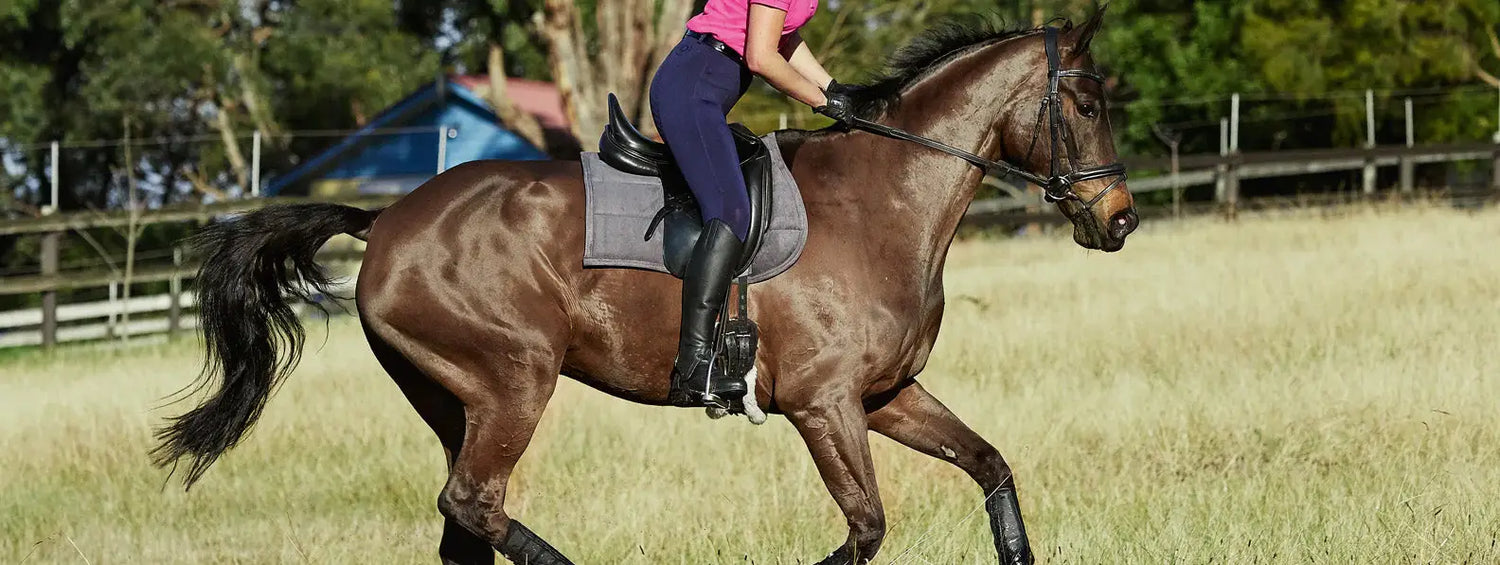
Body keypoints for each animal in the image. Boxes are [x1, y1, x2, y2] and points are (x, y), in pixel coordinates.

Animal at [155, 11, 1134, 563]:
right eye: (1087, 105)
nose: (1118, 219)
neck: (883, 200)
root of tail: (385, 218)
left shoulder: (886, 394)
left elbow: (991, 466)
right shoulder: (824, 405)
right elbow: (865, 526)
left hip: (454, 398)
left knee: (464, 523)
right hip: (514, 380)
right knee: (475, 502)